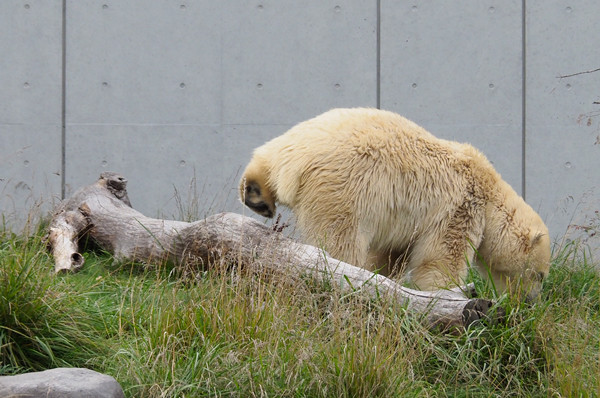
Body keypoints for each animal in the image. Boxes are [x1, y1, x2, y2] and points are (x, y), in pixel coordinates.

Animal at [241, 107, 552, 296]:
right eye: (540, 275)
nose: (530, 301)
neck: (489, 190)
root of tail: (297, 162)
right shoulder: (459, 207)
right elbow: (439, 260)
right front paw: (449, 293)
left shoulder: (409, 224)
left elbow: (389, 256)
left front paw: (382, 278)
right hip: (344, 191)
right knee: (339, 244)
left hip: (294, 141)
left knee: (264, 159)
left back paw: (256, 196)